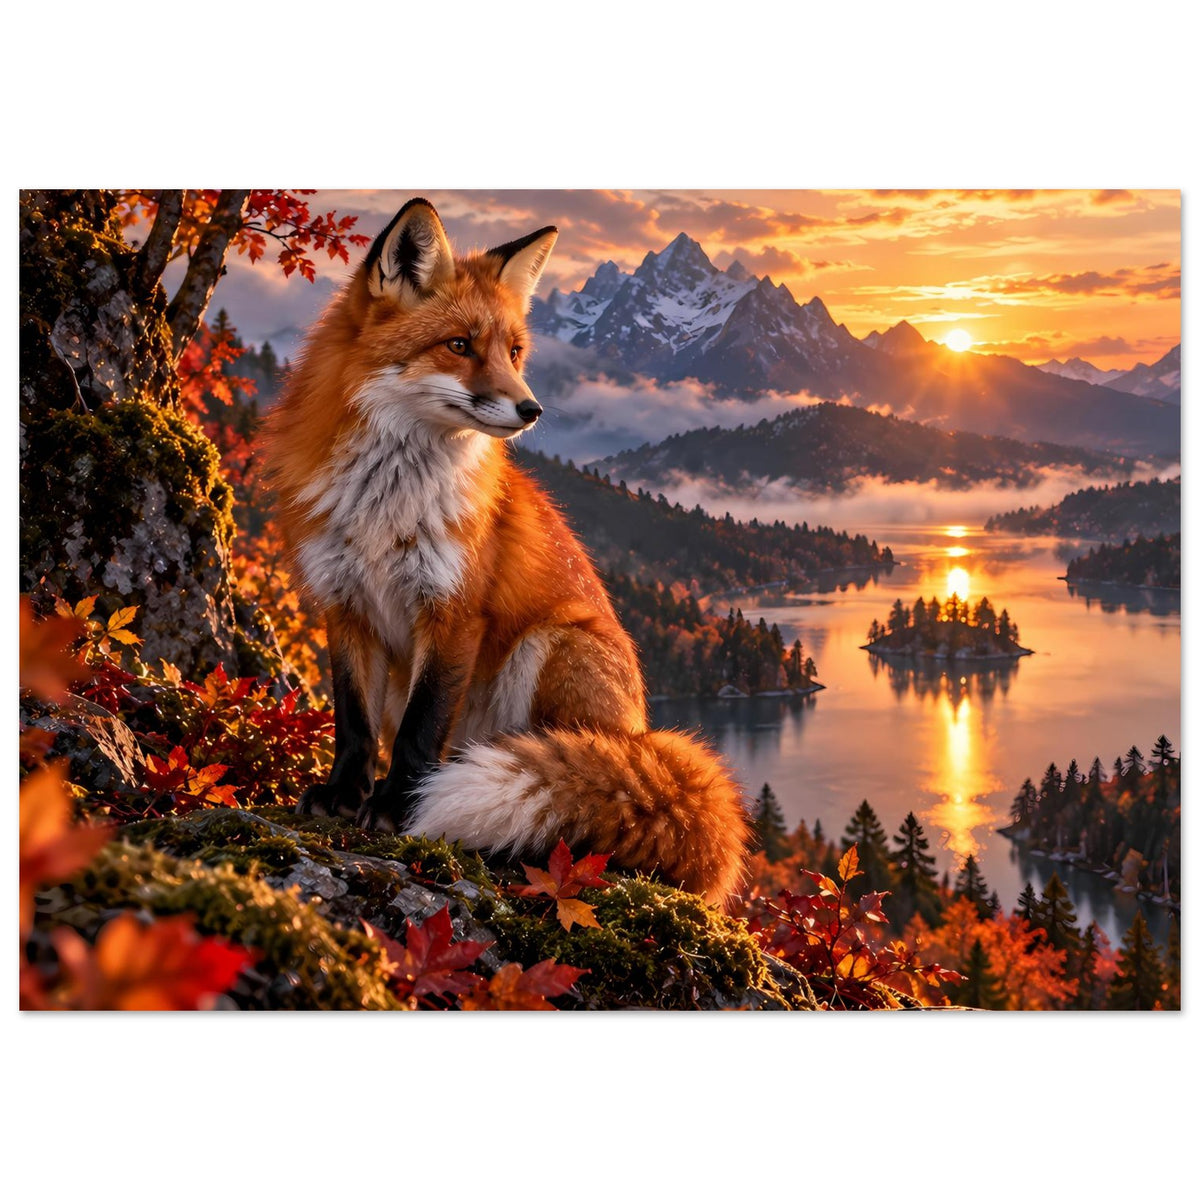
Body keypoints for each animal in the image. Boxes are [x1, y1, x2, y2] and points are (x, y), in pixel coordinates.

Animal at [264, 197, 749, 906]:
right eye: (460, 346)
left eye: (515, 351)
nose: (532, 409)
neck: (386, 506)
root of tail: (642, 734)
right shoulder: (345, 603)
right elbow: (353, 724)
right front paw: (342, 797)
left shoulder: (454, 611)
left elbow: (419, 731)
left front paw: (398, 809)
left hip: (550, 645)